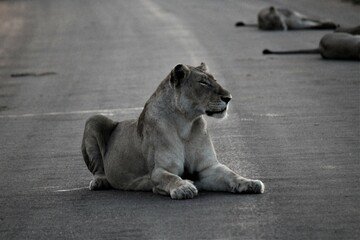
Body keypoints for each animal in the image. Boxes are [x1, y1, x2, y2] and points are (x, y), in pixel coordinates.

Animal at [83, 62, 266, 200]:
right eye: (203, 83)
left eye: (214, 80)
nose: (228, 98)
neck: (185, 124)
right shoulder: (158, 171)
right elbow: (171, 177)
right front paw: (185, 187)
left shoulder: (207, 168)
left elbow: (230, 173)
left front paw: (250, 182)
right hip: (94, 119)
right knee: (98, 170)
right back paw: (100, 182)